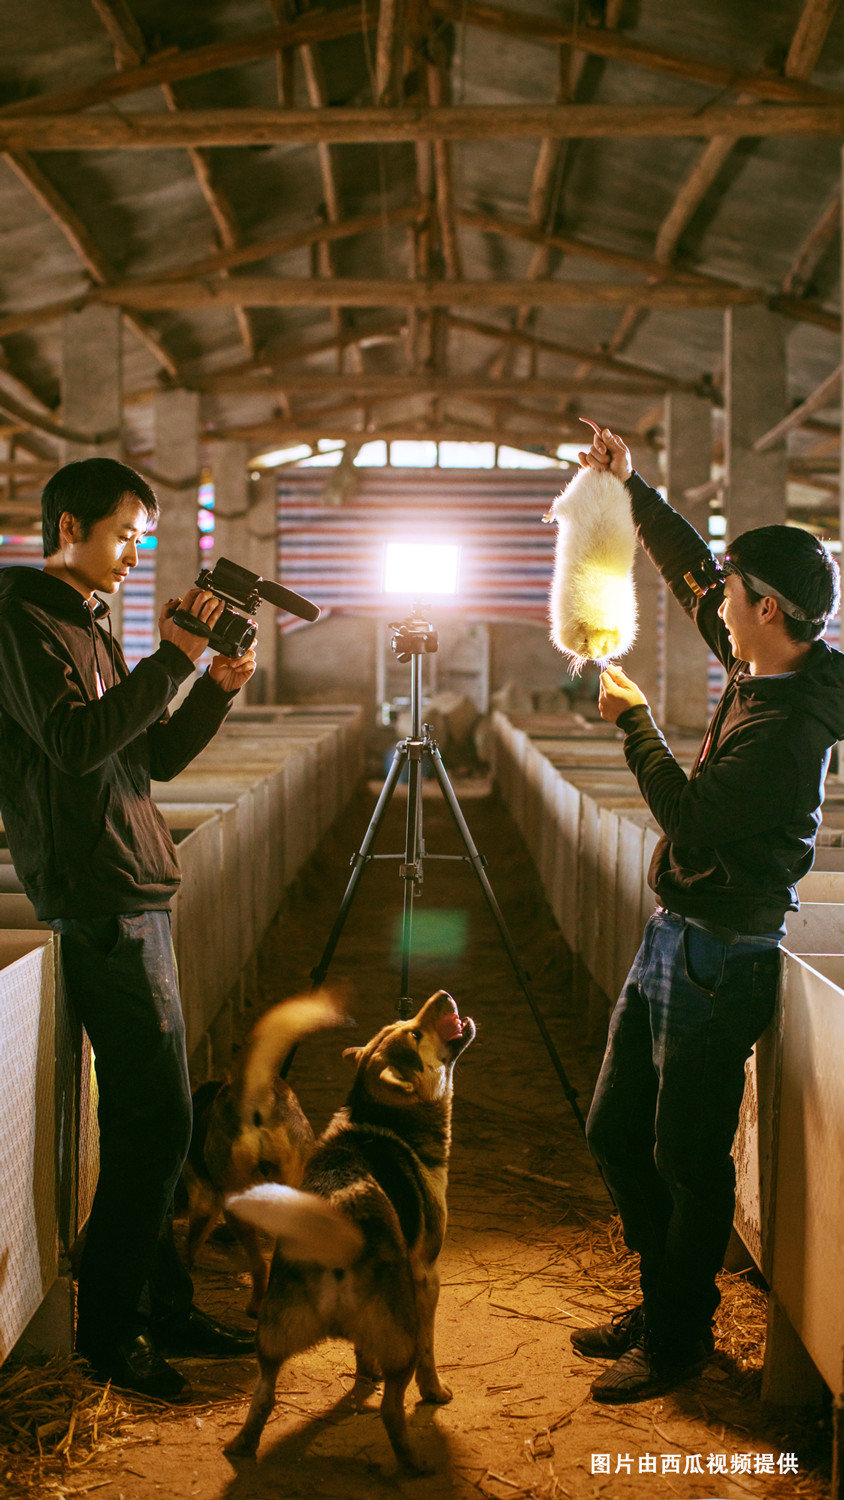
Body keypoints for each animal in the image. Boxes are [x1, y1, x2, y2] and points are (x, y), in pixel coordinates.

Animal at [183, 996, 344, 1314]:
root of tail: (256, 1095)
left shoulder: (204, 1200)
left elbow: (191, 1240)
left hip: (239, 1204)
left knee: (259, 1265)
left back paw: (256, 1305)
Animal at [223, 990, 476, 1470]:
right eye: (415, 1034)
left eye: (404, 1024)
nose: (444, 995)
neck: (381, 1114)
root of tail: (337, 1226)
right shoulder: (427, 1275)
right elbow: (430, 1352)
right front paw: (436, 1392)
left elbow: (362, 1351)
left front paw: (364, 1371)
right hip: (400, 1339)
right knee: (393, 1409)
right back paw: (413, 1463)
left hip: (271, 1338)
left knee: (262, 1397)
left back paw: (241, 1445)